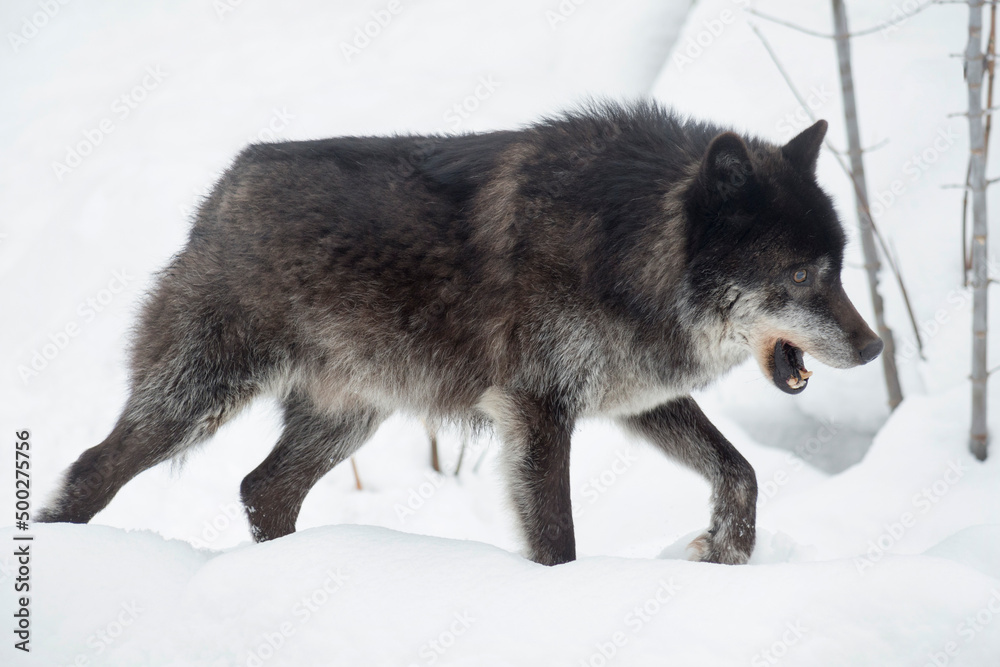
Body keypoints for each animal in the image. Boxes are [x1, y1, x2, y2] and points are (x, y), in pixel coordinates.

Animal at [38, 101, 882, 566]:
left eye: (839, 267)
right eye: (801, 273)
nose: (875, 347)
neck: (625, 243)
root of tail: (220, 192)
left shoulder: (638, 400)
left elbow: (741, 471)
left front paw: (727, 550)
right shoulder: (538, 410)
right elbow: (556, 536)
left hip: (348, 418)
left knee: (261, 489)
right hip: (197, 398)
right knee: (90, 469)